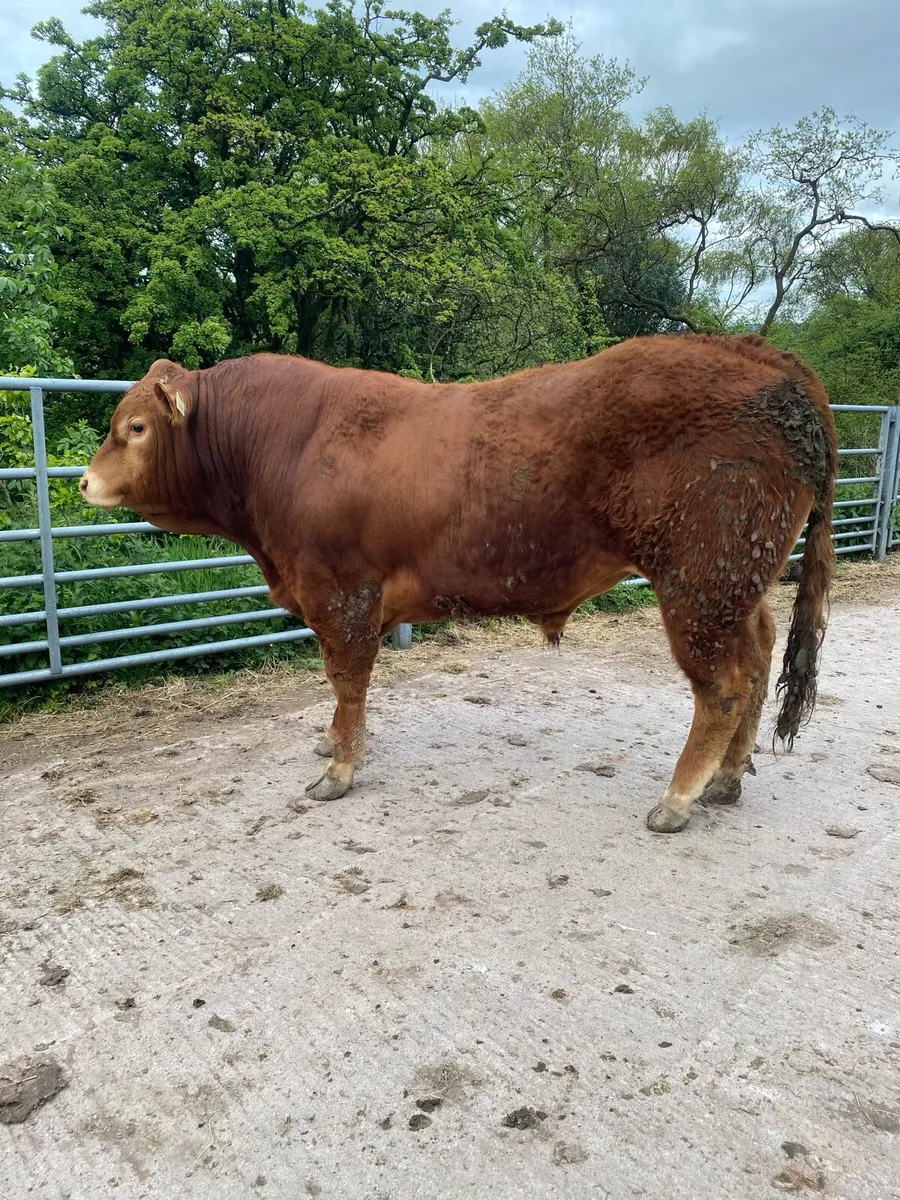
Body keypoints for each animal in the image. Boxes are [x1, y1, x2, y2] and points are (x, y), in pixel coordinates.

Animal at [81, 334, 836, 833]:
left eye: (136, 427)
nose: (84, 481)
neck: (283, 443)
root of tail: (755, 351)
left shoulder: (341, 594)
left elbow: (346, 681)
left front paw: (338, 770)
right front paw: (333, 743)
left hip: (698, 586)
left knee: (724, 687)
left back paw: (678, 799)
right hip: (737, 585)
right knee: (759, 657)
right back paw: (728, 779)